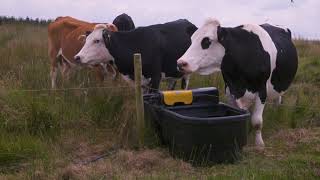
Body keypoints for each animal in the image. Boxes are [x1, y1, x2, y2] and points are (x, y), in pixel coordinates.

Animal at [178, 18, 298, 148]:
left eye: (207, 41)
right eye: (191, 40)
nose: (181, 63)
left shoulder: (262, 91)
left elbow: (257, 121)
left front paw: (259, 144)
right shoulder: (230, 90)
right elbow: (239, 113)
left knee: (278, 100)